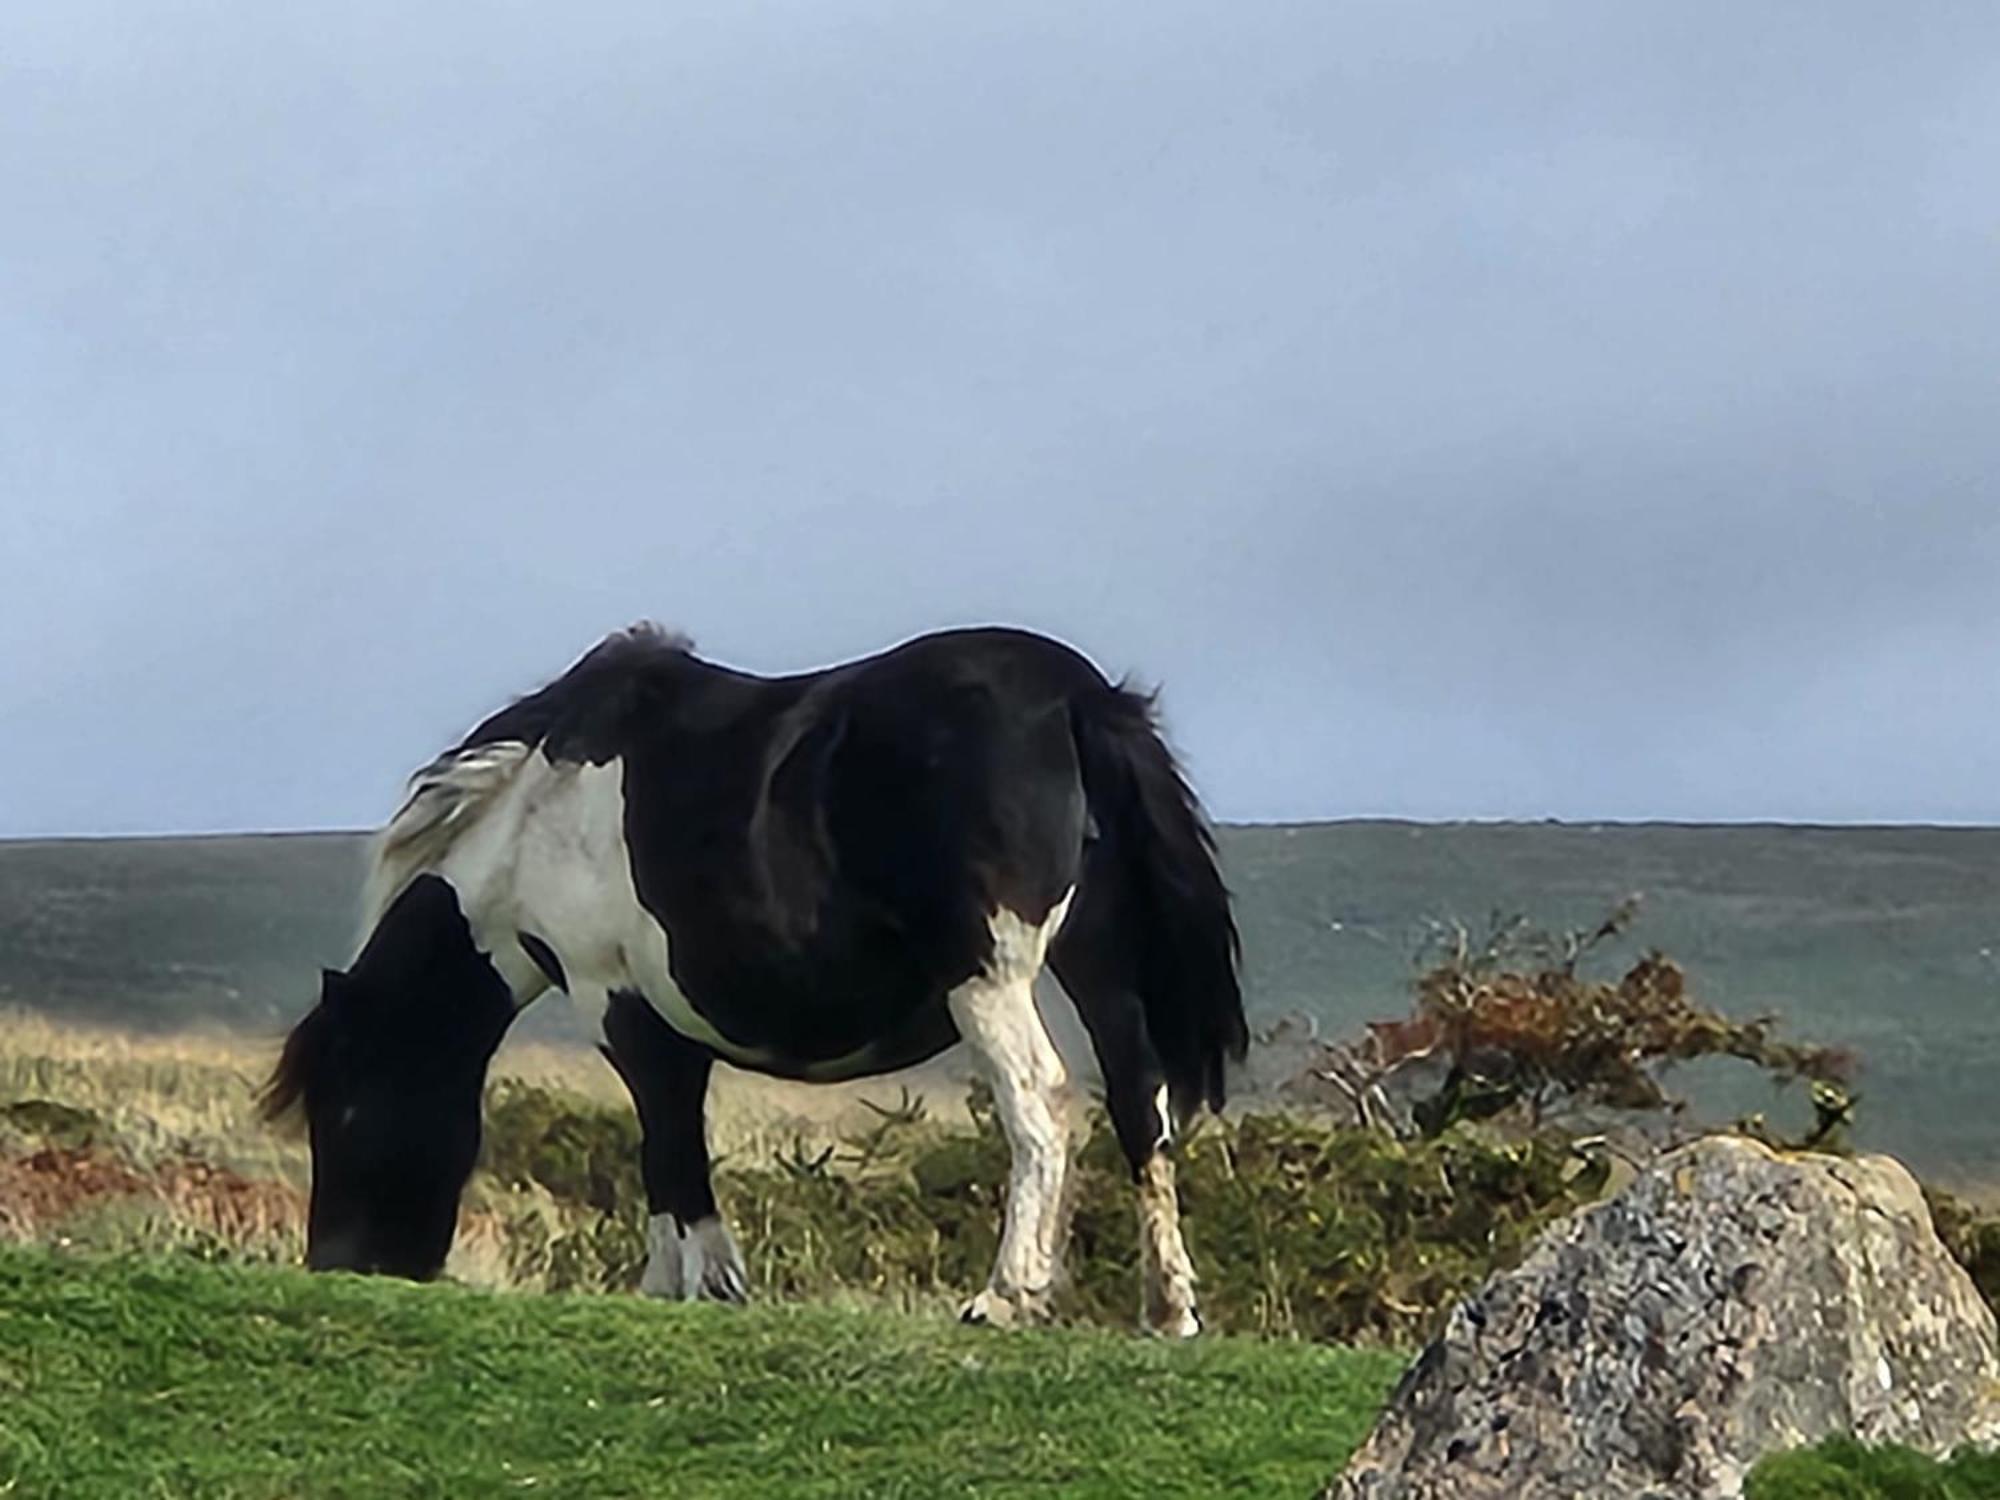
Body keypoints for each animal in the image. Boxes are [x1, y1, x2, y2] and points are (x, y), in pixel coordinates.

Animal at [260, 624, 1240, 1336]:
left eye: (345, 1109)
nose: (340, 1266)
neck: (532, 820)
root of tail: (1076, 698)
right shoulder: (668, 1022)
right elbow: (673, 1144)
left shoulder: (615, 1001)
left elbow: (667, 1146)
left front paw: (692, 1287)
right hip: (1100, 967)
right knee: (1140, 1107)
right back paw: (1168, 1310)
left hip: (990, 979)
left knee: (1040, 1103)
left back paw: (1005, 1296)